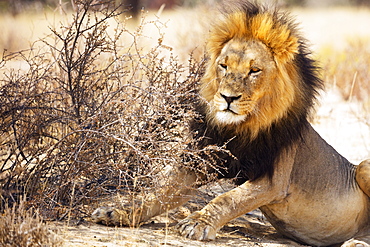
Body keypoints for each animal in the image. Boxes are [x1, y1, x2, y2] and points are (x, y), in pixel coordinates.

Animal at [91, 0, 370, 246]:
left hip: (363, 166)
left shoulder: (274, 180)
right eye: (224, 66)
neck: (240, 128)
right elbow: (159, 193)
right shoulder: (198, 162)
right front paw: (119, 211)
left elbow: (229, 199)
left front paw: (198, 222)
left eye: (254, 70)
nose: (227, 97)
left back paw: (355, 243)